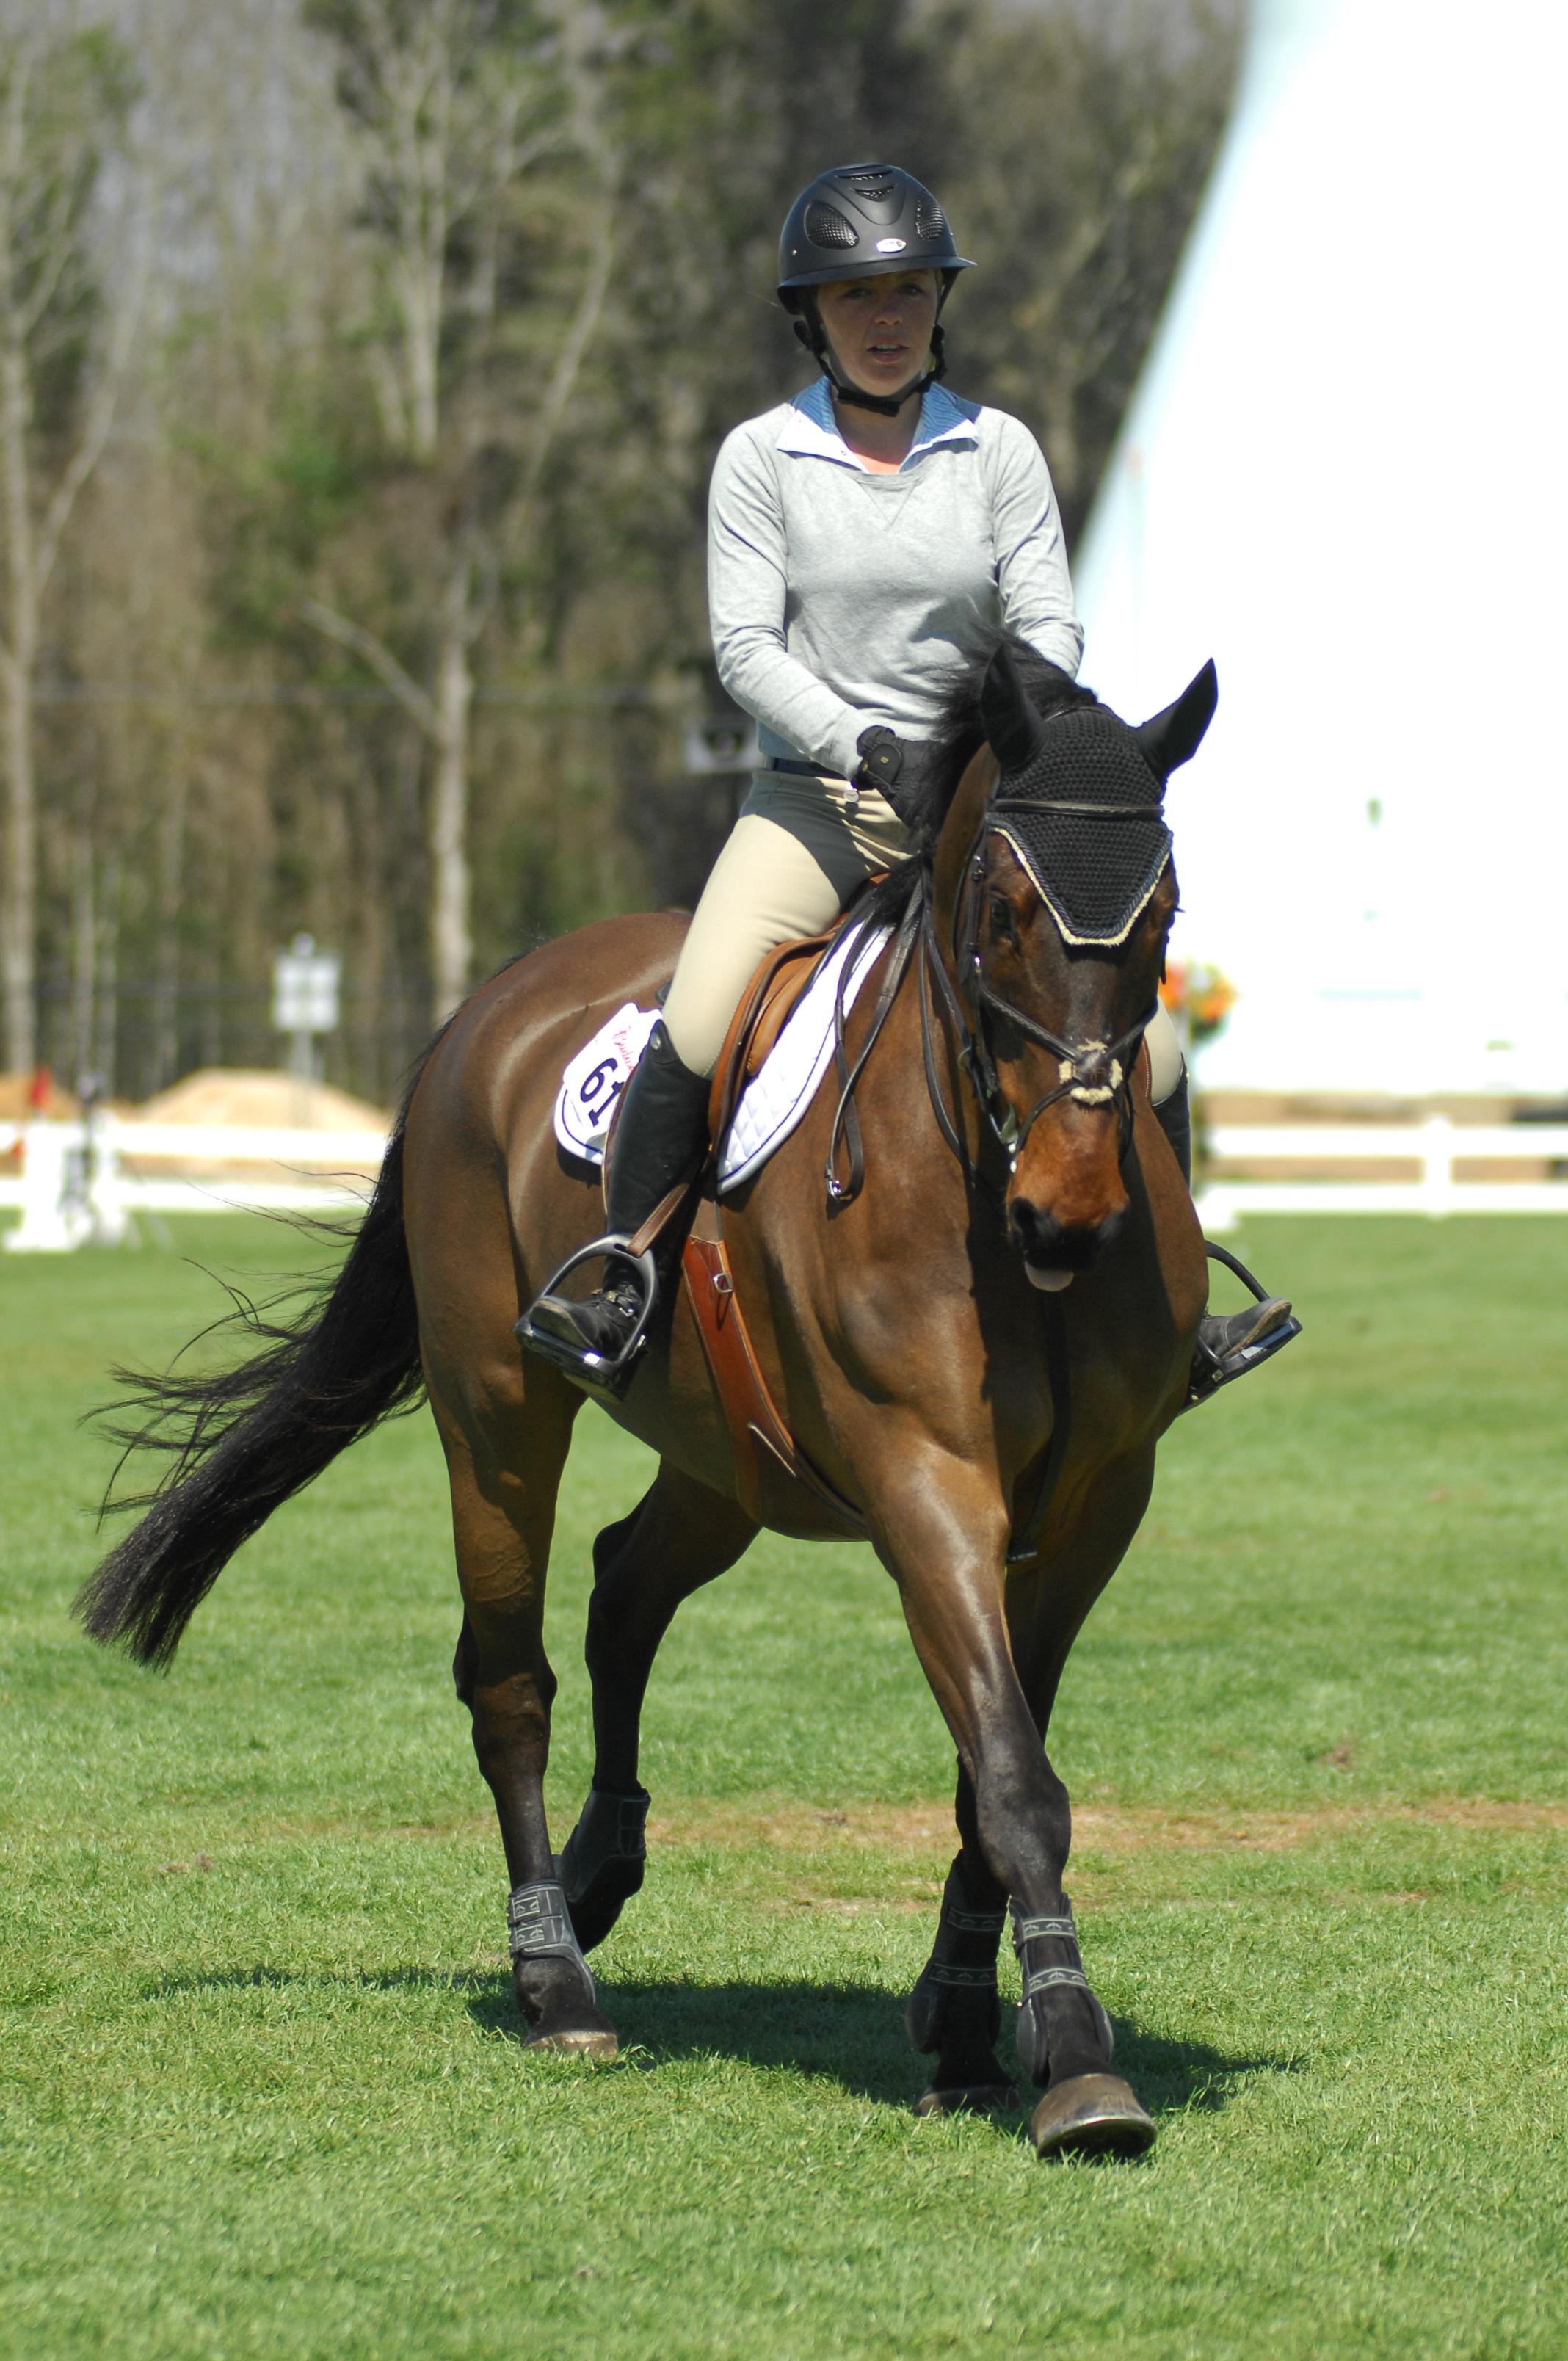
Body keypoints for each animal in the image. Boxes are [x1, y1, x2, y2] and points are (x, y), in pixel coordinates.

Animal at [78, 642, 1215, 2159]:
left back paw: (600, 1869)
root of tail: (488, 1005)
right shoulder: (927, 1484)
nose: (1072, 1212)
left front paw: (970, 2027)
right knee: (510, 1679)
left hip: (732, 1459)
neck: (987, 1194)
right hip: (499, 1416)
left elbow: (993, 1770)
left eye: (1164, 910)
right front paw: (1080, 2063)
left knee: (624, 1588)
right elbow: (1016, 1777)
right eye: (1003, 911)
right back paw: (555, 1977)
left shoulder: (1097, 1506)